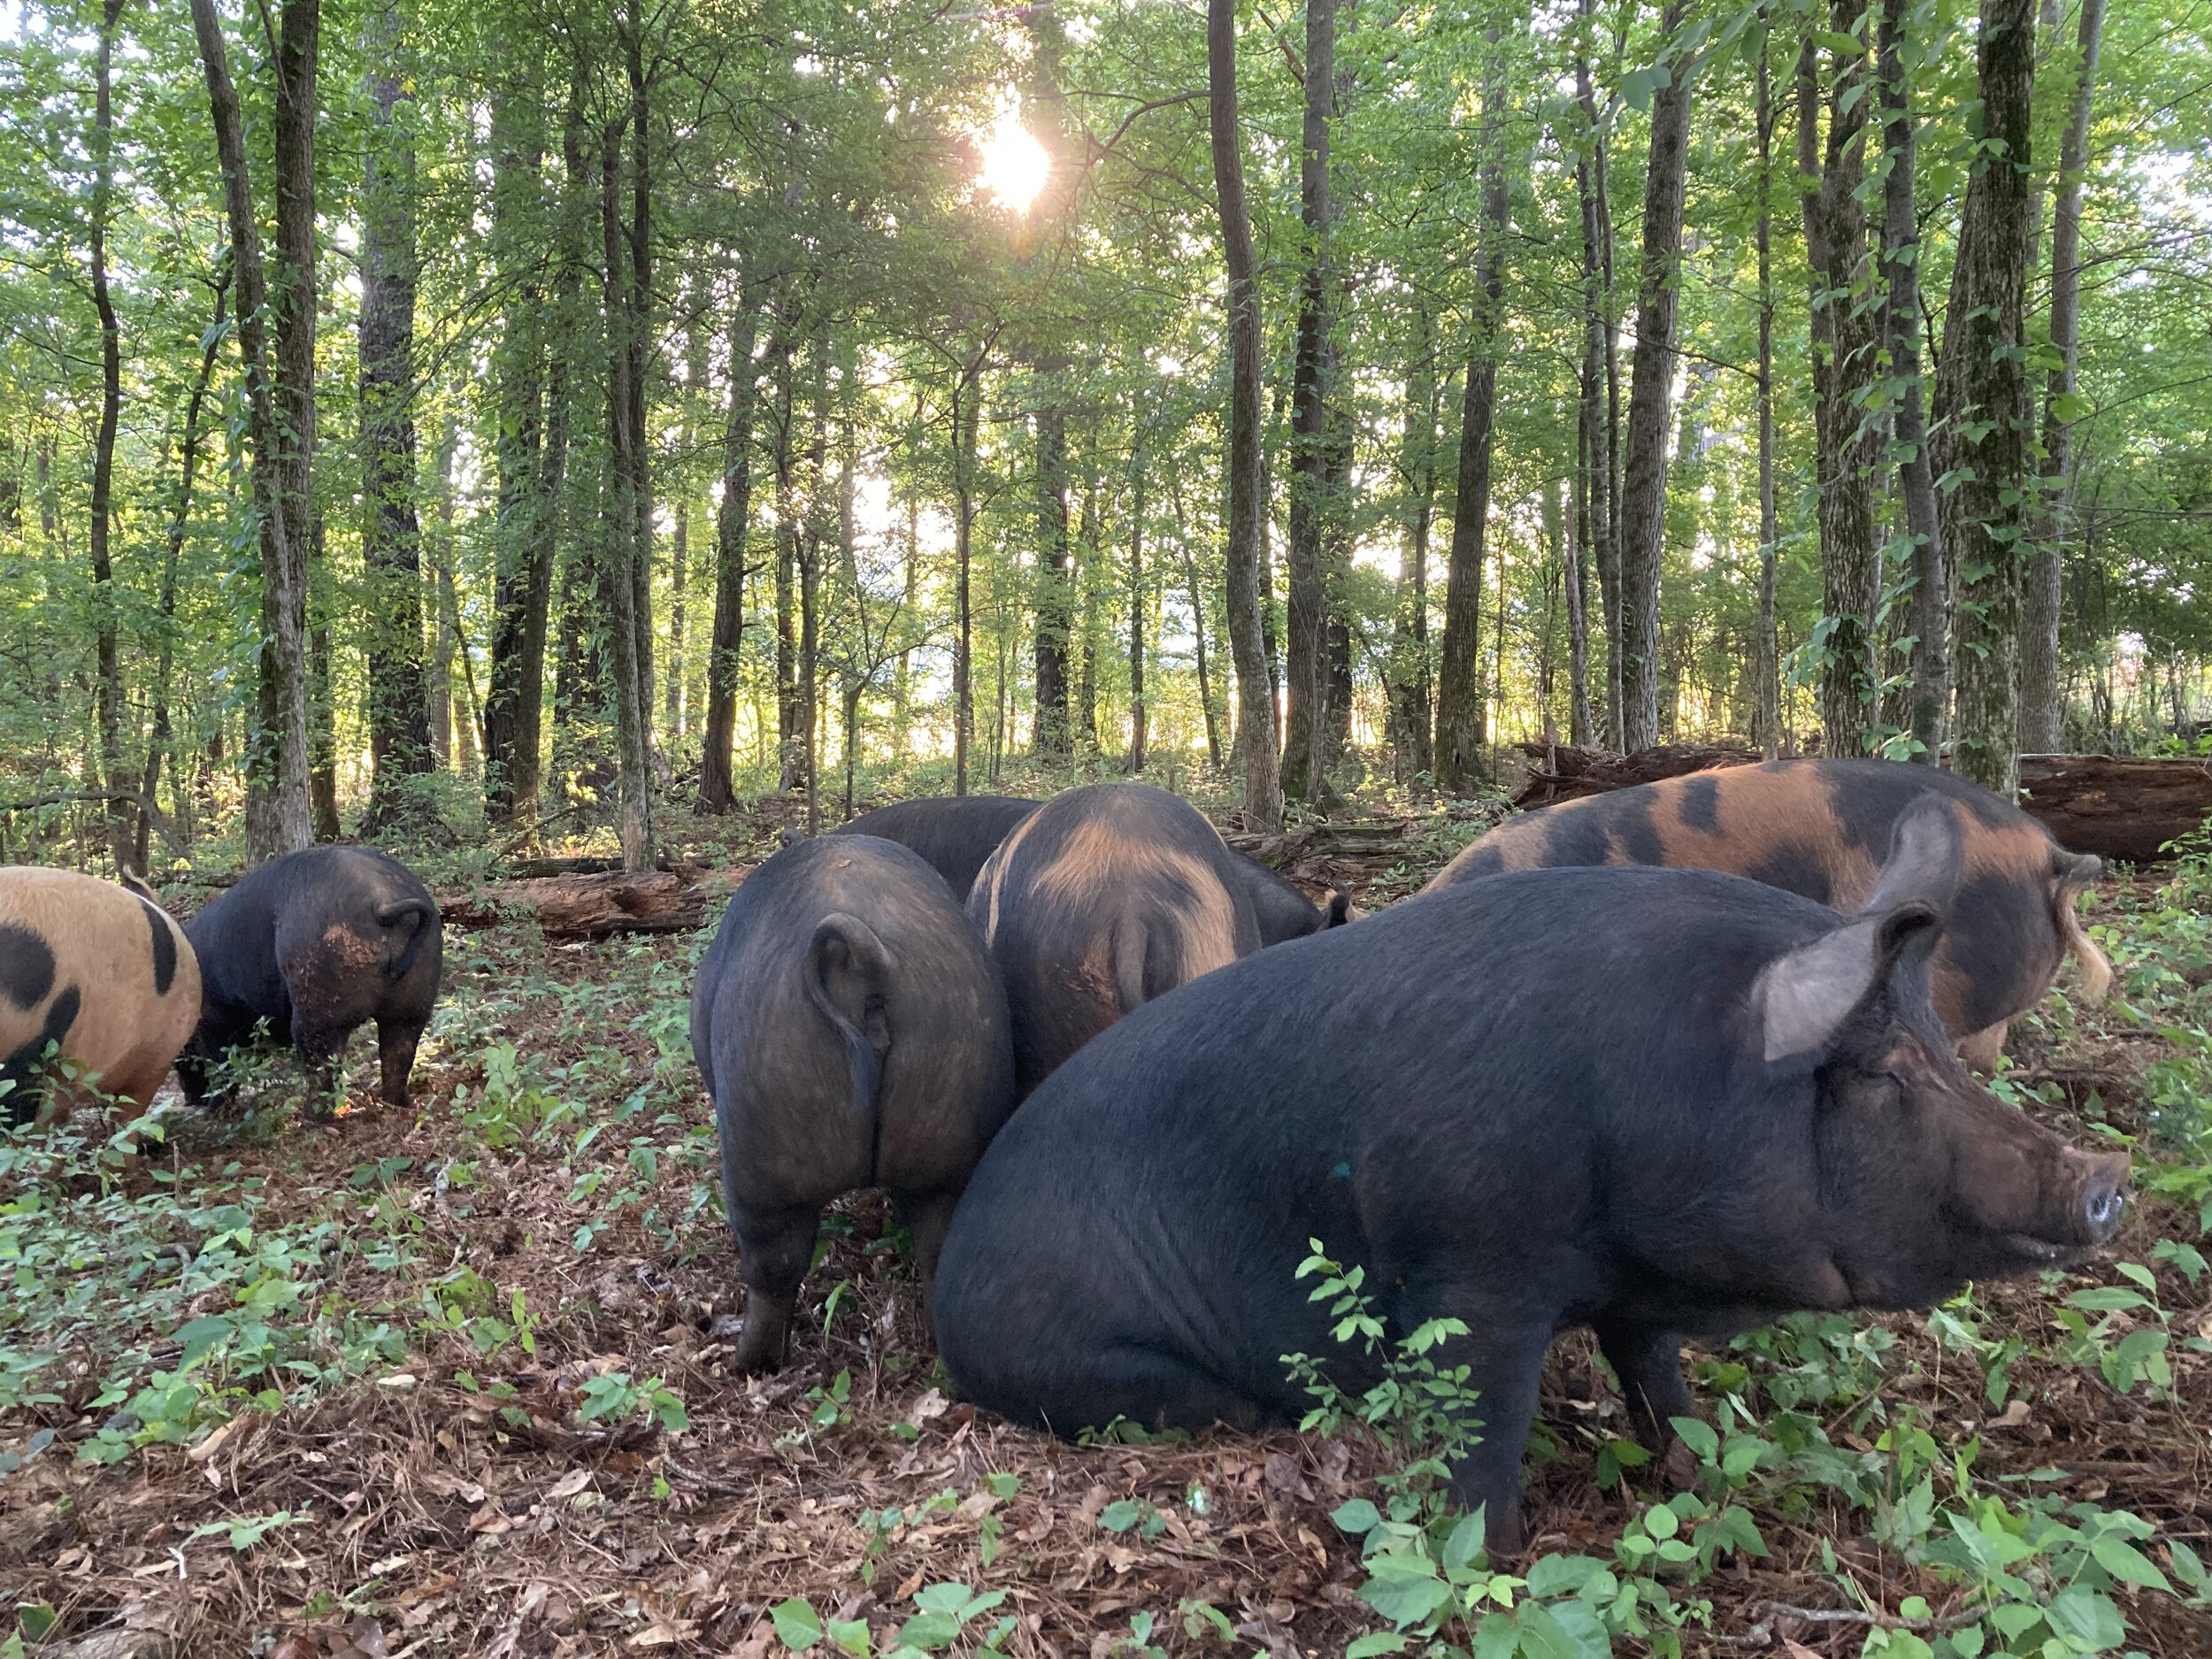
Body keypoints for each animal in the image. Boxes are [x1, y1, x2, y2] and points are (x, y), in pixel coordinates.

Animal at [179, 846, 441, 1117]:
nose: (190, 1099)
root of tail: (383, 906)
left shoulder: (211, 1022)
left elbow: (221, 1067)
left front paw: (213, 1112)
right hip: (414, 1002)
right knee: (398, 1052)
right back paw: (398, 1103)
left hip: (319, 1006)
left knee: (321, 1062)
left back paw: (310, 1115)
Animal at [691, 833, 1017, 1373]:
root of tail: (864, 952)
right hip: (953, 1100)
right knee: (939, 1244)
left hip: (766, 1135)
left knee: (774, 1265)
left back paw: (746, 1365)